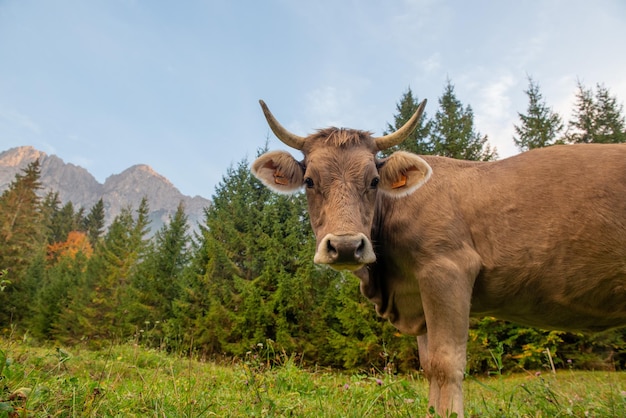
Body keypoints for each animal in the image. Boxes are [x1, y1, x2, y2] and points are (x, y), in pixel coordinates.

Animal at [250, 99, 624, 416]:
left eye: (374, 180)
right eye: (310, 181)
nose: (345, 245)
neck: (390, 284)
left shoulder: (447, 270)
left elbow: (447, 364)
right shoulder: (419, 294)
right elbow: (429, 366)